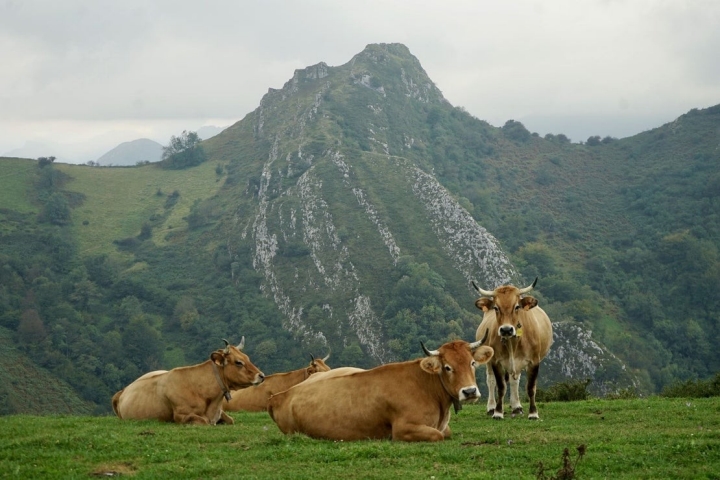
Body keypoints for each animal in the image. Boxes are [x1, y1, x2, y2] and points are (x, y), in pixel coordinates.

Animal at [111, 337, 264, 425]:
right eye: (238, 362)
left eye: (247, 357)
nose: (261, 375)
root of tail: (122, 391)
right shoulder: (181, 416)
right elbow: (203, 421)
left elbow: (231, 420)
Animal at [267, 337, 494, 442]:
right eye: (447, 367)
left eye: (473, 363)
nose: (469, 392)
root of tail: (278, 396)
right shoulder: (403, 428)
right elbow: (438, 435)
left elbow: (446, 432)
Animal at [472, 277, 553, 420]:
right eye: (496, 308)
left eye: (517, 306)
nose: (506, 330)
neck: (513, 343)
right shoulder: (496, 362)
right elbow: (500, 387)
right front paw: (498, 412)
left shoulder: (534, 361)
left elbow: (530, 387)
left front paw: (533, 413)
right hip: (489, 360)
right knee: (491, 381)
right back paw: (491, 407)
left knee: (514, 380)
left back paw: (516, 407)